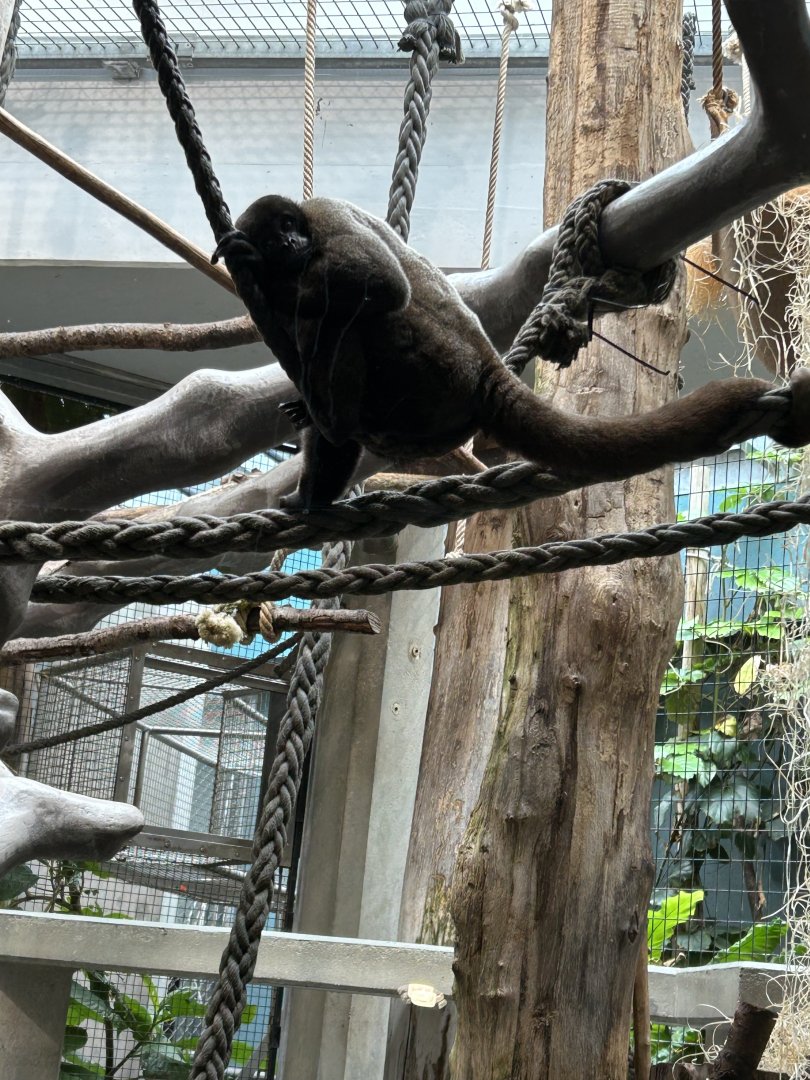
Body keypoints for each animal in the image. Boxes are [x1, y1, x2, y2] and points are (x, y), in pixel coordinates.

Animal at [212, 195, 810, 510]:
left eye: (289, 228)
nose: (291, 245)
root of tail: (486, 371)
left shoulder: (324, 213)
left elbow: (380, 282)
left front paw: (265, 276)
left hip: (429, 365)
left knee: (353, 318)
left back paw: (330, 419)